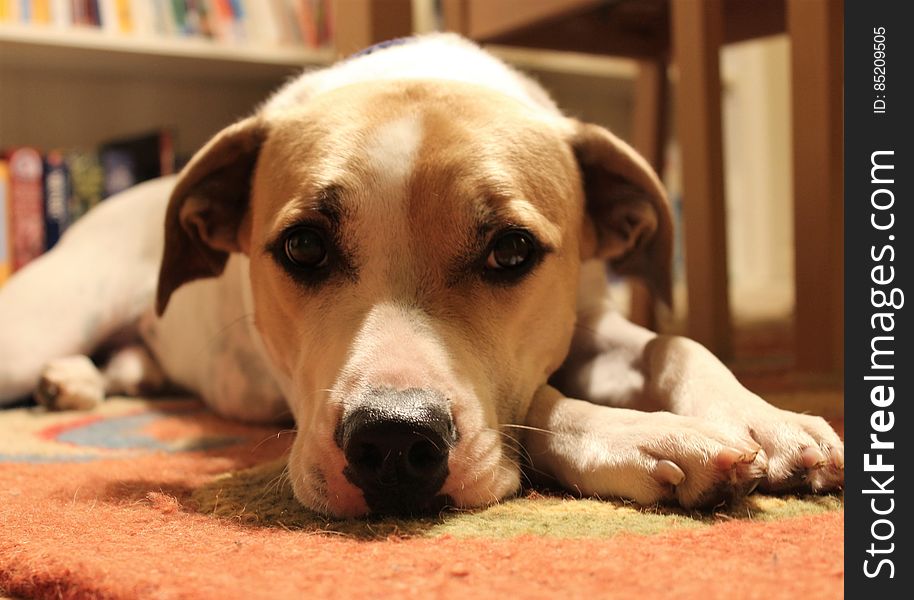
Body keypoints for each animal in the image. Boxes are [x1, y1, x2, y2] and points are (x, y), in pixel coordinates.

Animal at [0, 35, 840, 516]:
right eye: (304, 247)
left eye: (511, 251)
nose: (394, 444)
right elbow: (536, 400)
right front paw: (652, 439)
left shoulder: (587, 321)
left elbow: (675, 344)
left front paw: (766, 417)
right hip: (34, 325)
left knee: (129, 365)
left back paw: (76, 382)